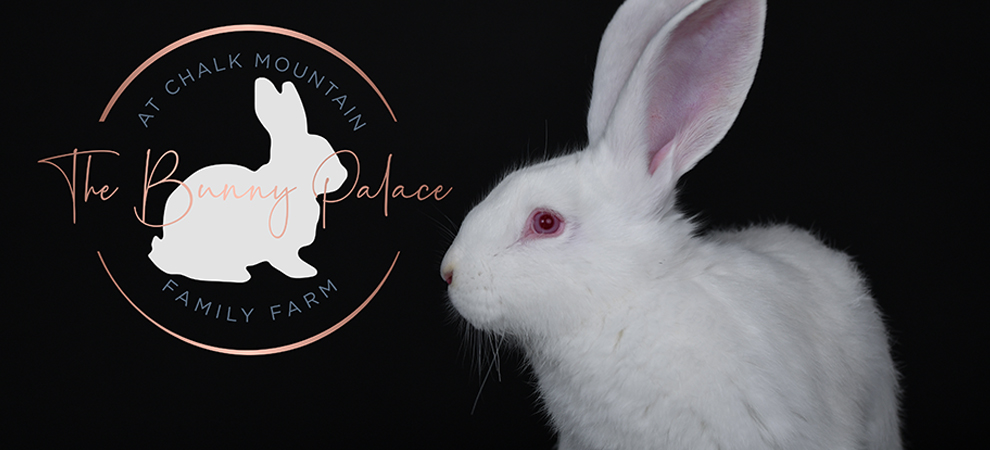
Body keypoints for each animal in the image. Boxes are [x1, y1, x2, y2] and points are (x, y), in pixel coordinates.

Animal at [149, 77, 348, 283]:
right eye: (317, 153)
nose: (343, 175)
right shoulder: (280, 245)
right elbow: (285, 260)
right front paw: (303, 273)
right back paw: (237, 275)